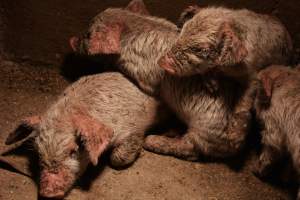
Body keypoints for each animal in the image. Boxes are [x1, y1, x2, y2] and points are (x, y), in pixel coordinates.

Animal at [69, 0, 292, 159]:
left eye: (88, 34)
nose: (71, 40)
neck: (132, 30)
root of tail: (236, 147)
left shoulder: (146, 76)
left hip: (203, 131)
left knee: (191, 150)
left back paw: (153, 141)